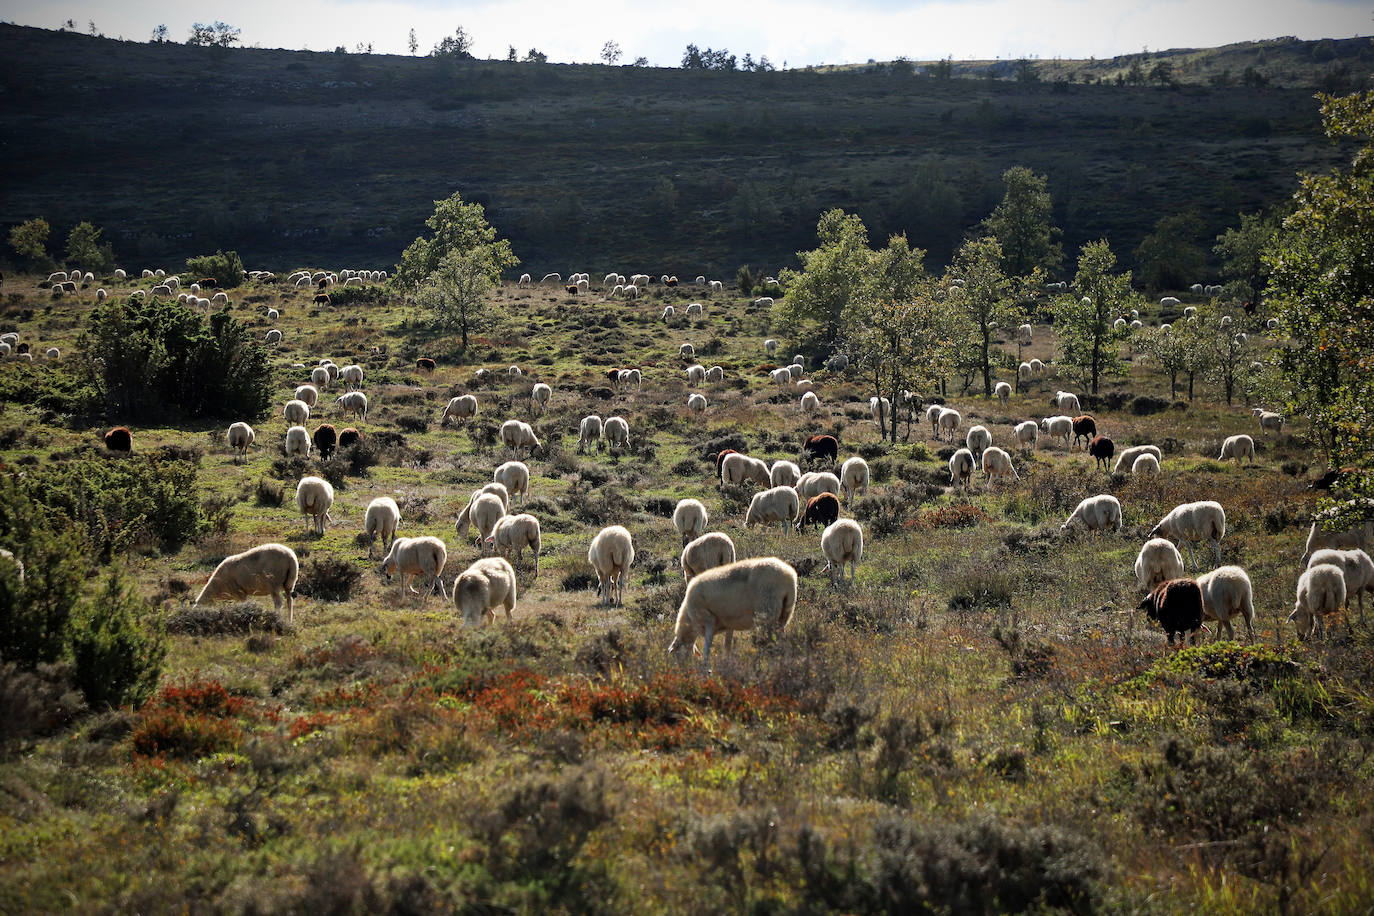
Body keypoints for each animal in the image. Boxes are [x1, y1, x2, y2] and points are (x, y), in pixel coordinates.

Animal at [665, 554, 796, 670]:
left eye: (676, 655)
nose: (683, 669)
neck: (690, 619)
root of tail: (789, 575)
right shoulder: (729, 624)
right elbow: (727, 645)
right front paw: (727, 661)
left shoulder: (709, 620)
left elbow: (707, 647)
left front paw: (705, 667)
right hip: (784, 615)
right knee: (783, 642)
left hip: (767, 614)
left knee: (772, 643)